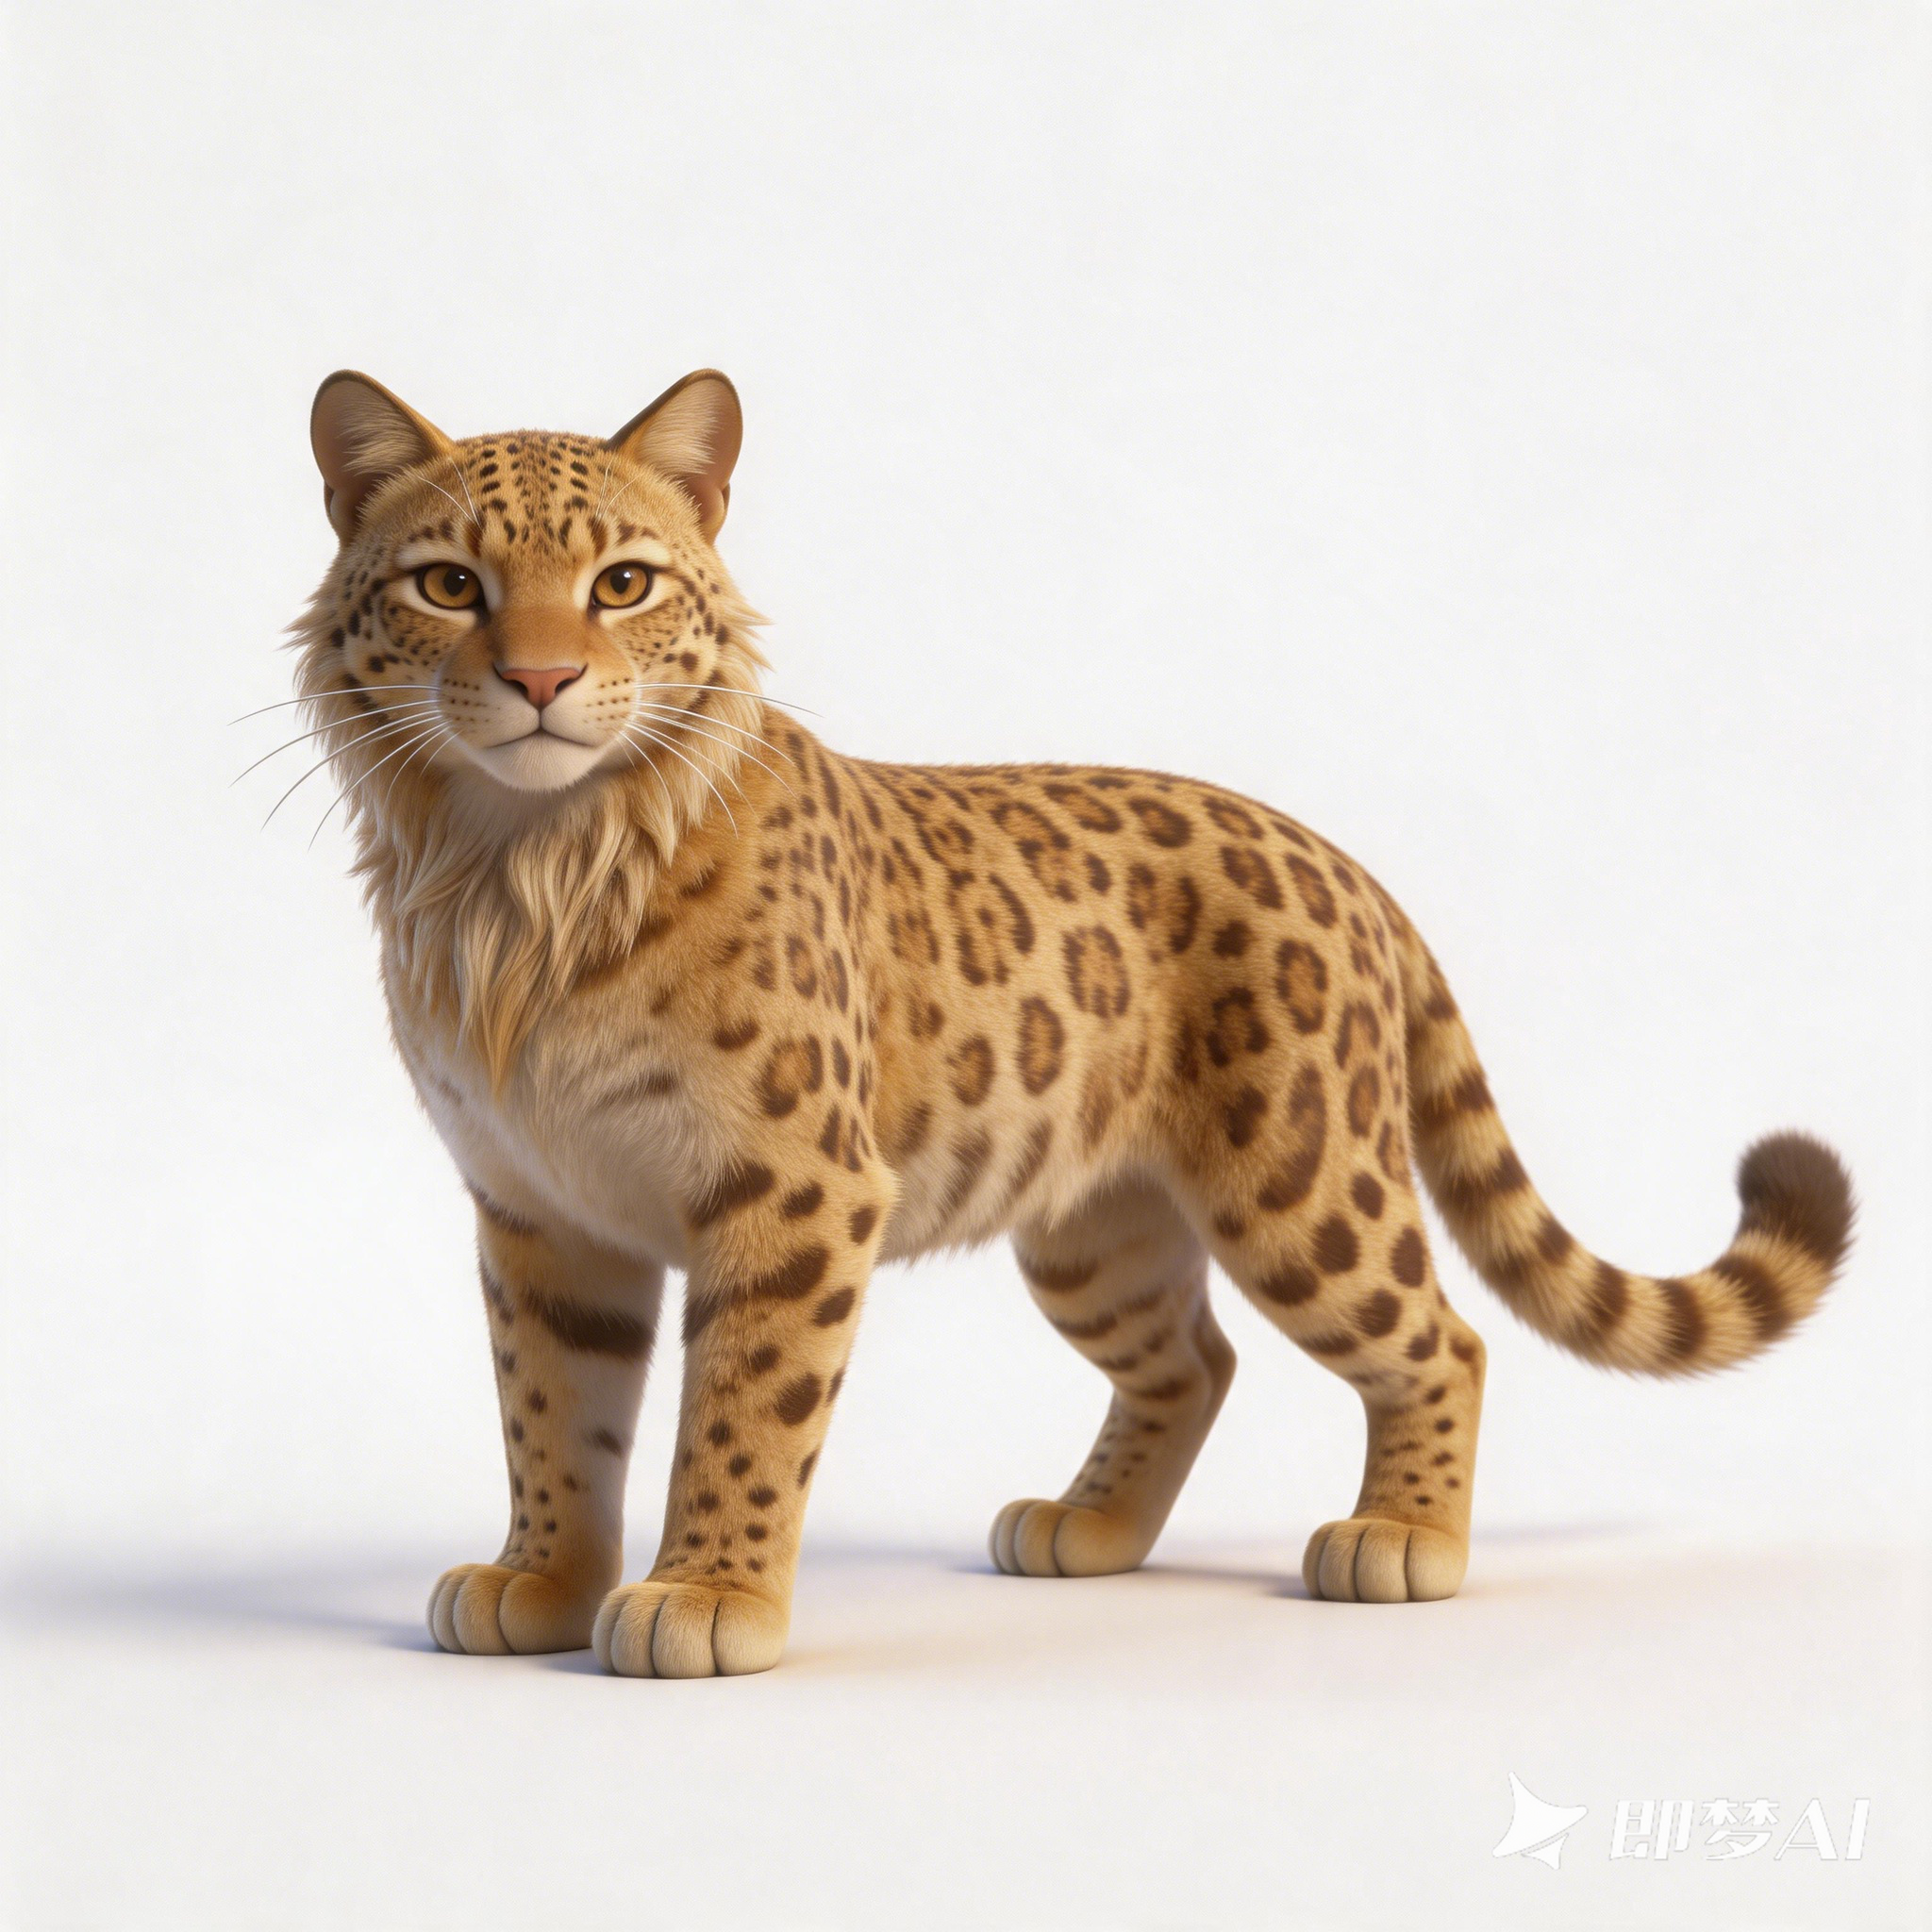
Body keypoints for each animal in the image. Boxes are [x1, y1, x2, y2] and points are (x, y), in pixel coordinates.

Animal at [286, 367, 1855, 1676]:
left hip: (1301, 1183)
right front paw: (543, 1581)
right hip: (1094, 1228)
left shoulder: (792, 1192)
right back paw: (1087, 1530)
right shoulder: (539, 1208)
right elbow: (554, 1414)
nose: (542, 681)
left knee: (1441, 1337)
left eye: (621, 583)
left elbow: (739, 1410)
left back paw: (1403, 1539)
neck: (518, 873)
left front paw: (708, 1598)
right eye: (448, 583)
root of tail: (1339, 859)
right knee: (1197, 1358)